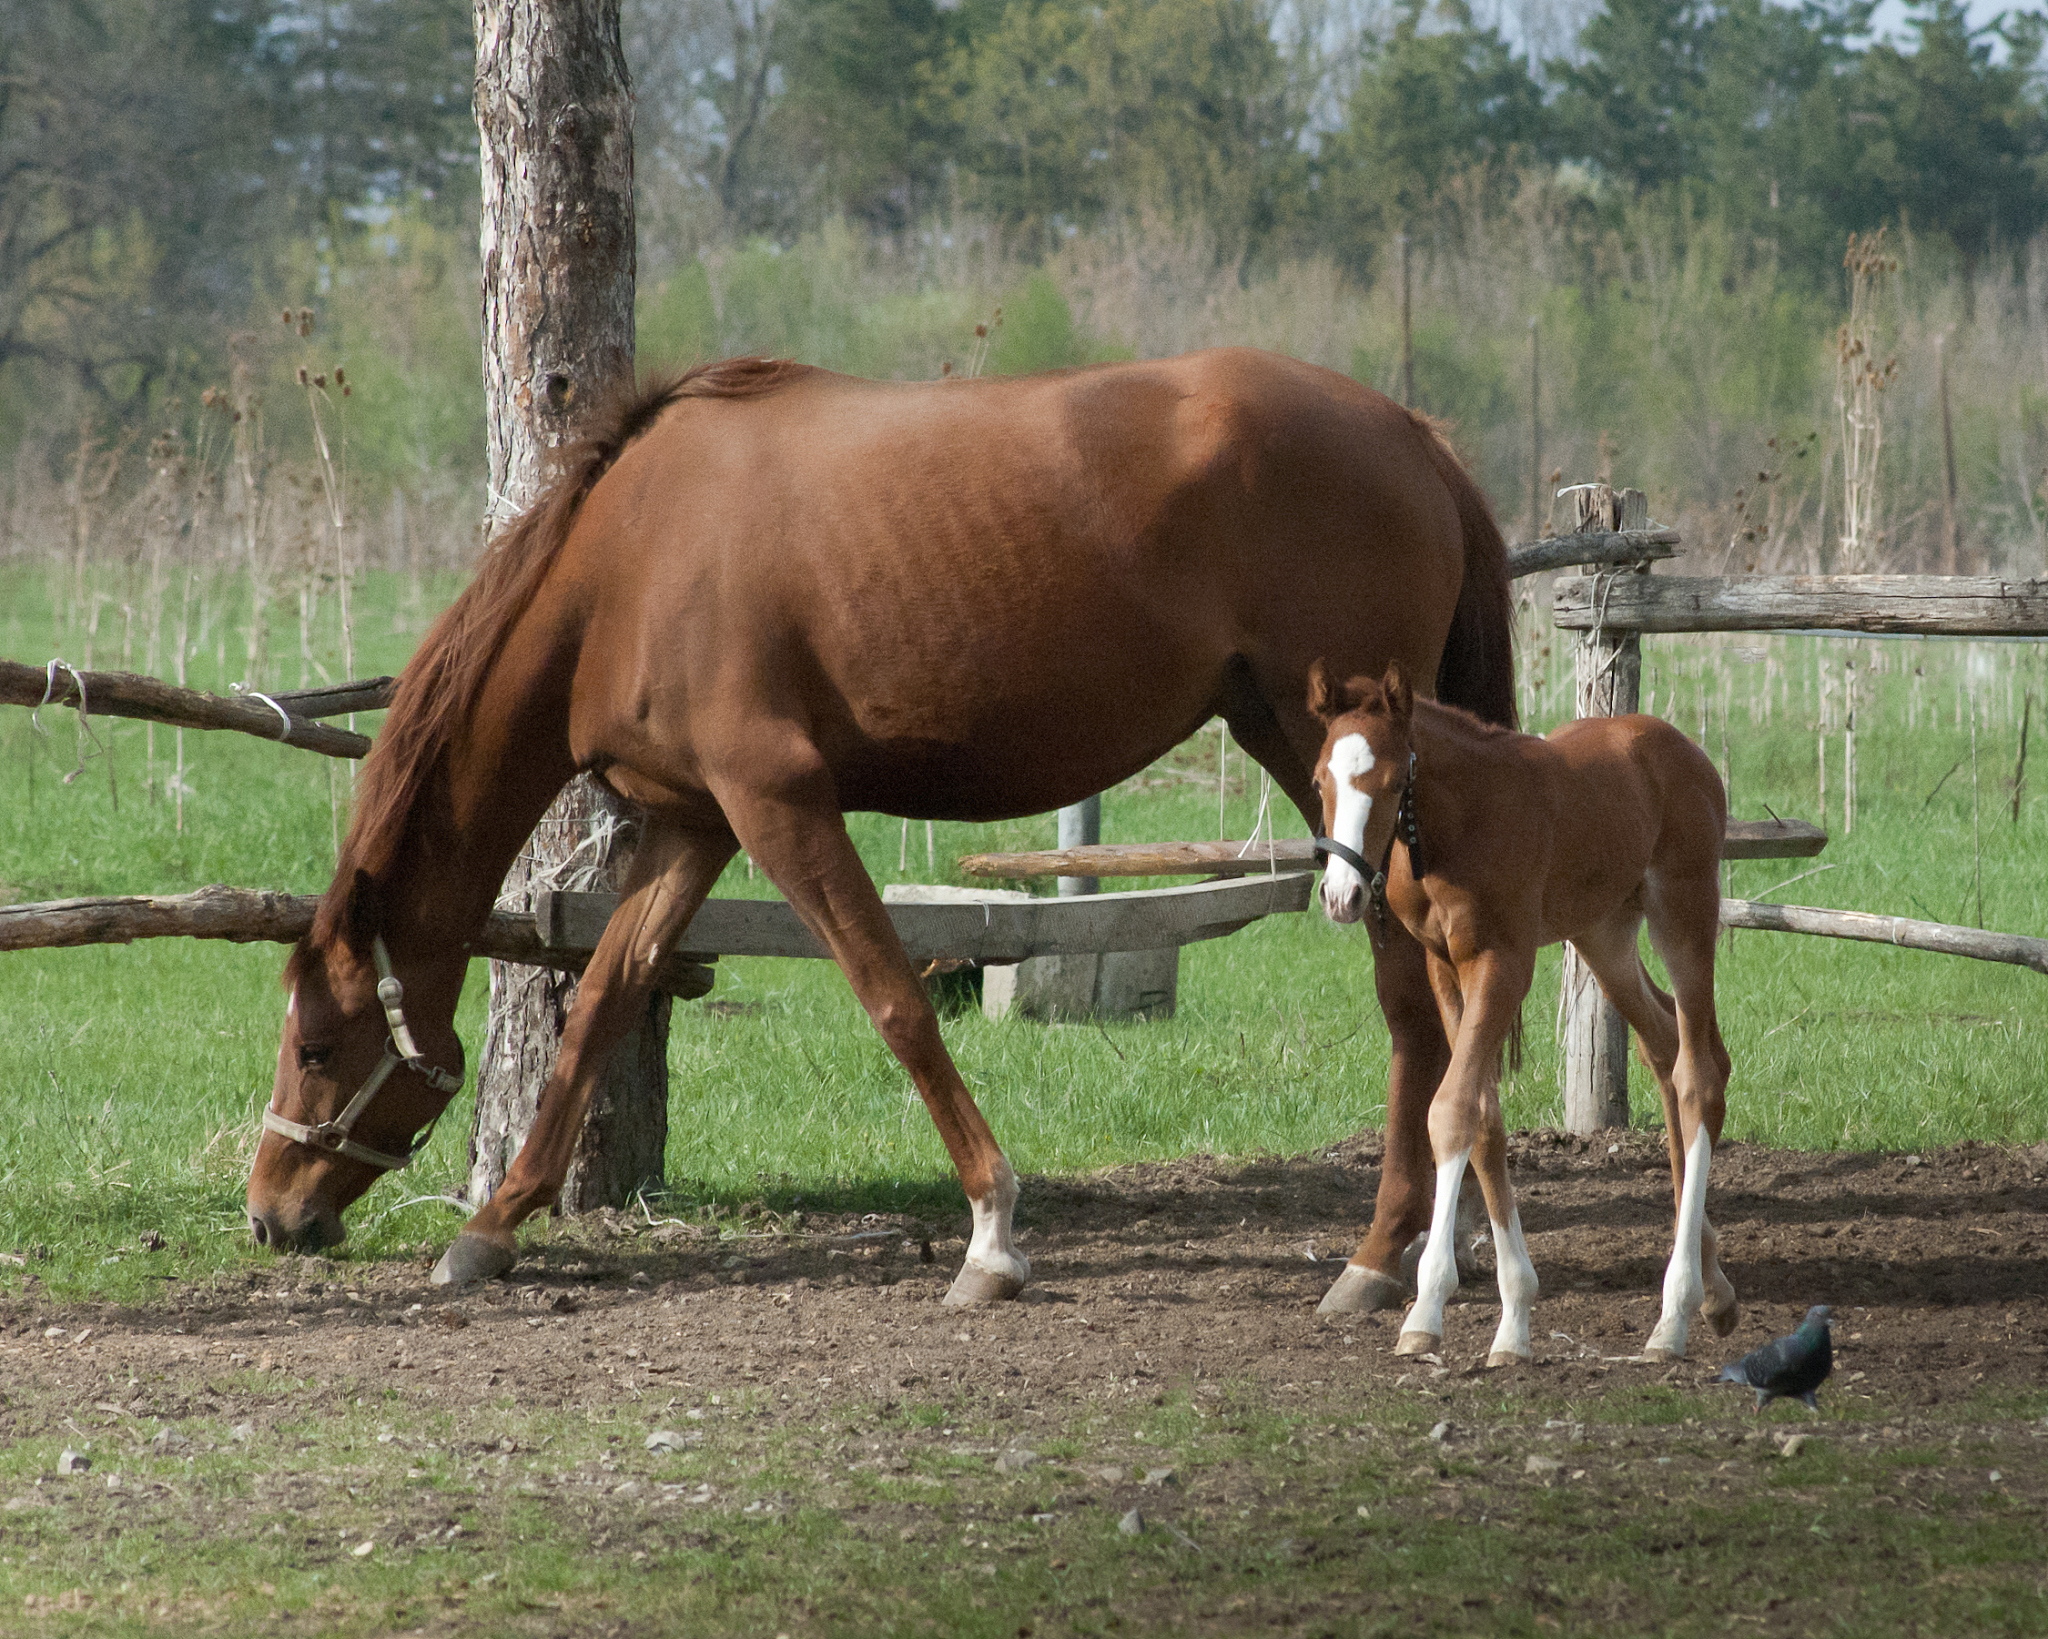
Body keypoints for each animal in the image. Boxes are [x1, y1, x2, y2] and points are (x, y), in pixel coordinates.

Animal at [245, 348, 1516, 1309]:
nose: (267, 1212)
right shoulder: (696, 823)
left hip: (1329, 756)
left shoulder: (779, 802)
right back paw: (1437, 1242)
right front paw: (494, 1226)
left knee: (1410, 992)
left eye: (319, 1045)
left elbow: (893, 996)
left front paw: (991, 1233)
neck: (629, 561)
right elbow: (602, 1000)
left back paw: (1380, 1253)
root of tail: (1414, 435)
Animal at [1308, 661, 1735, 1362]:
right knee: (1668, 1048)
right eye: (1321, 779)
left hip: (1684, 909)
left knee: (1699, 1075)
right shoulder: (1443, 963)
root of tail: (1686, 750)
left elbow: (1452, 1110)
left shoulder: (1503, 961)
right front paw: (1513, 1319)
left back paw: (1672, 1316)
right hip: (1603, 933)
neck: (1459, 822)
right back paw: (1713, 1284)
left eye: (1393, 781)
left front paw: (1426, 1309)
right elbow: (1484, 1118)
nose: (1342, 896)